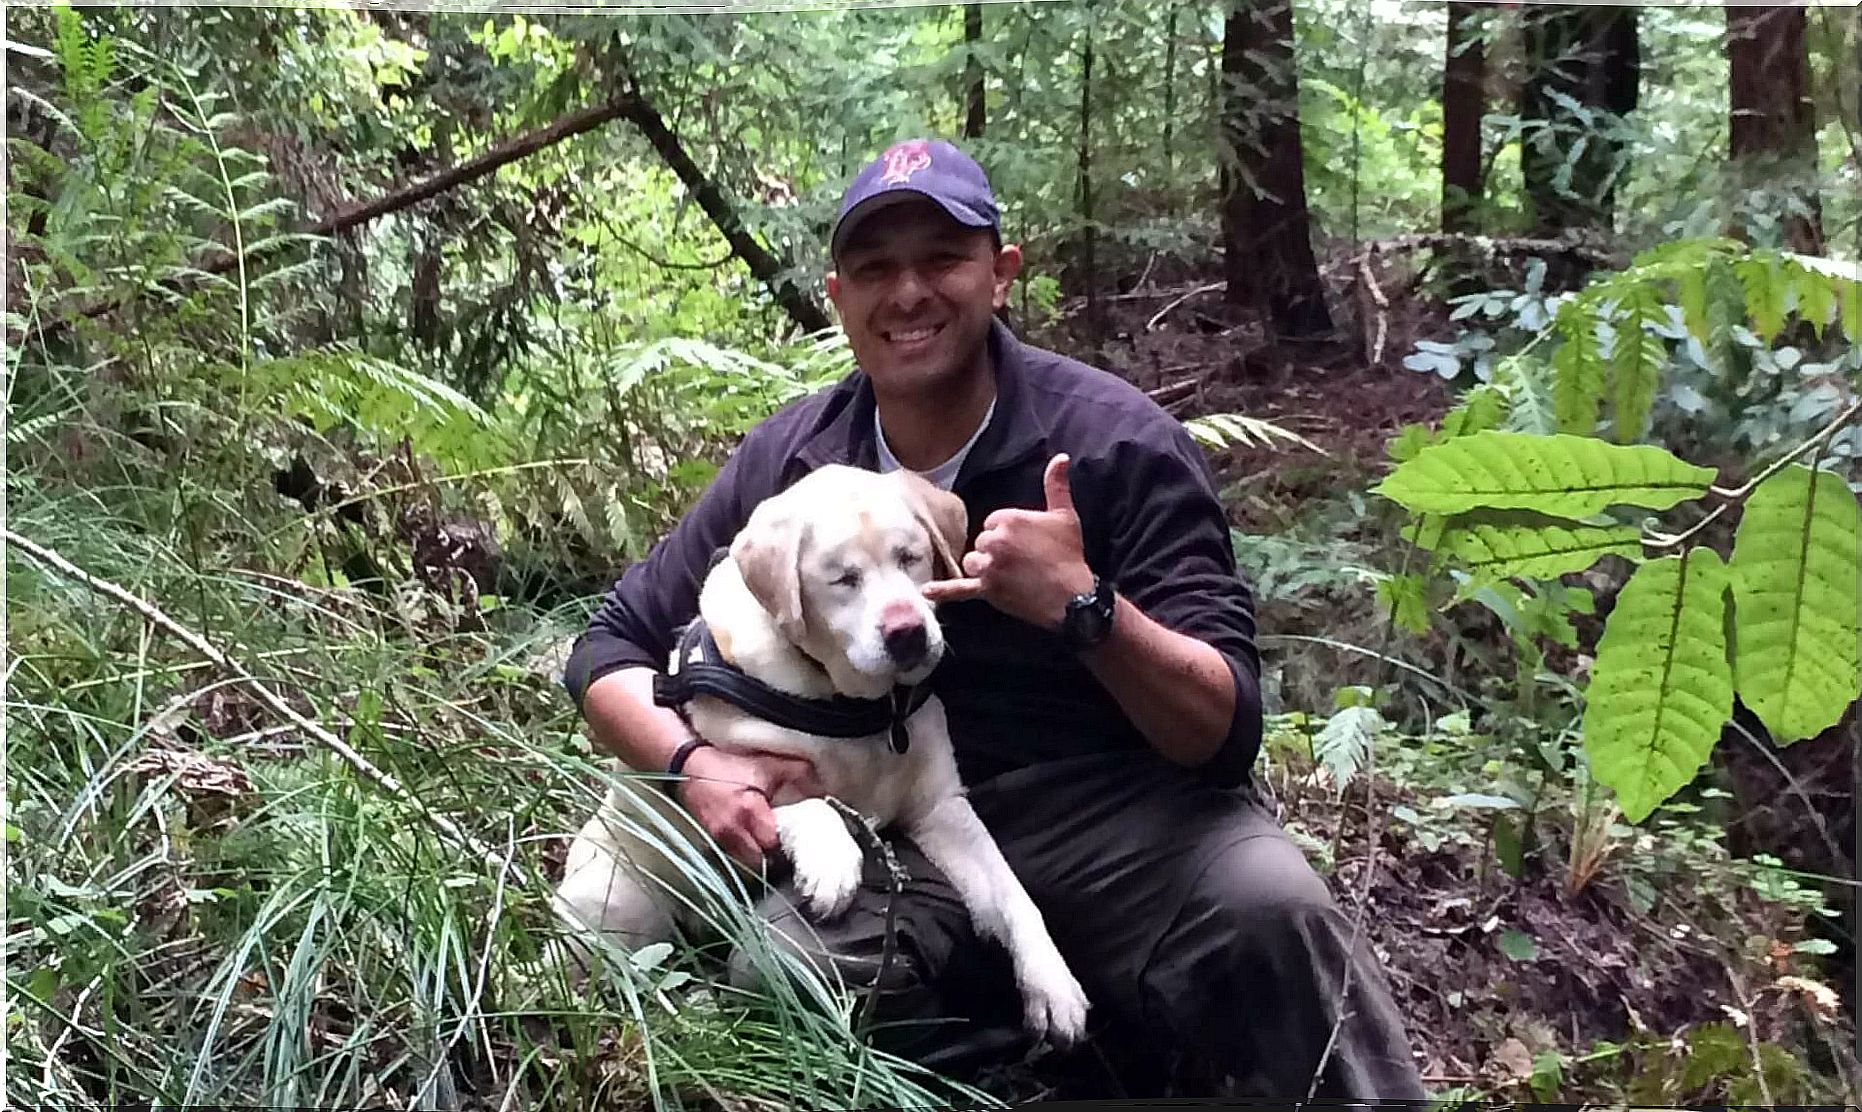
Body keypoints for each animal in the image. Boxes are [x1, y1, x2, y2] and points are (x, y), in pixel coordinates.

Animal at [551, 463, 1087, 1043]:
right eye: (843, 579)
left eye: (910, 557)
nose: (907, 633)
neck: (859, 708)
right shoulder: (737, 778)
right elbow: (806, 802)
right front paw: (832, 864)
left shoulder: (942, 810)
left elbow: (1014, 896)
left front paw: (1052, 985)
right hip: (613, 903)